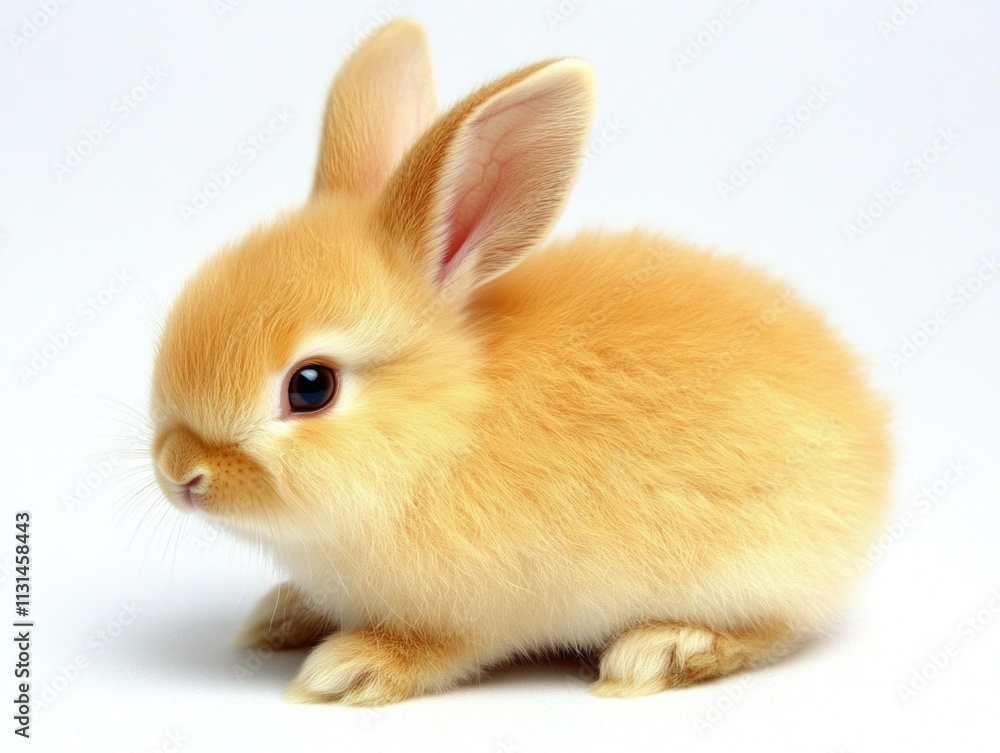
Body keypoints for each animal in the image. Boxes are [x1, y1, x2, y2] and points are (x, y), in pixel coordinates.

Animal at [150, 18, 891, 705]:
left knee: (773, 627)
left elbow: (442, 648)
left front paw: (351, 669)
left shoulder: (476, 610)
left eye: (311, 386)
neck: (446, 429)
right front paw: (279, 616)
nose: (181, 473)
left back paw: (662, 651)